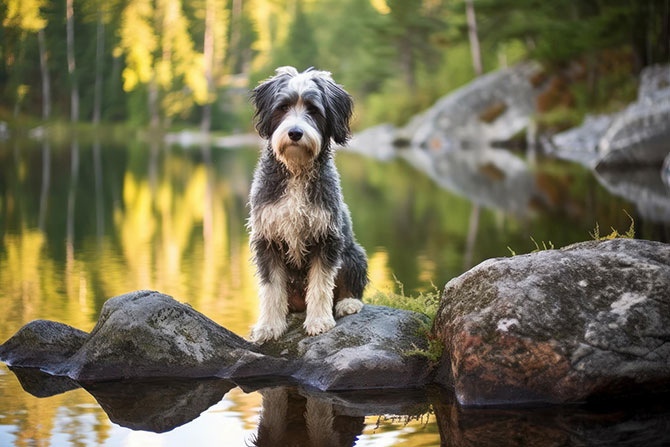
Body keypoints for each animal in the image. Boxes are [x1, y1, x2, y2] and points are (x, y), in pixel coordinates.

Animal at [249, 65, 370, 344]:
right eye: (283, 107)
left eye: (313, 110)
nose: (295, 133)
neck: (296, 170)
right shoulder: (267, 239)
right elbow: (271, 288)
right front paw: (269, 326)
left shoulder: (326, 238)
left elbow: (321, 285)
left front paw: (319, 321)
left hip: (354, 255)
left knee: (349, 284)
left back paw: (348, 303)